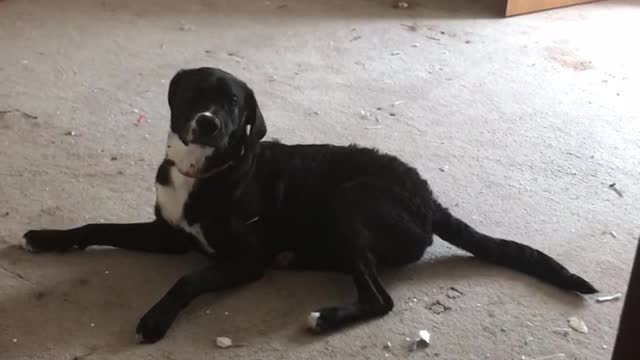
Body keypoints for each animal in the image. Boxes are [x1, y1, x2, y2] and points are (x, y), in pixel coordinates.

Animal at [22, 67, 596, 344]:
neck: (205, 169)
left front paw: (156, 319)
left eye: (234, 103)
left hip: (350, 201)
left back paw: (327, 315)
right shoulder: (167, 235)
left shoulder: (244, 259)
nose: (208, 121)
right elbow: (98, 224)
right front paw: (48, 239)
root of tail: (430, 198)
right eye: (193, 93)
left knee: (381, 299)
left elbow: (187, 280)